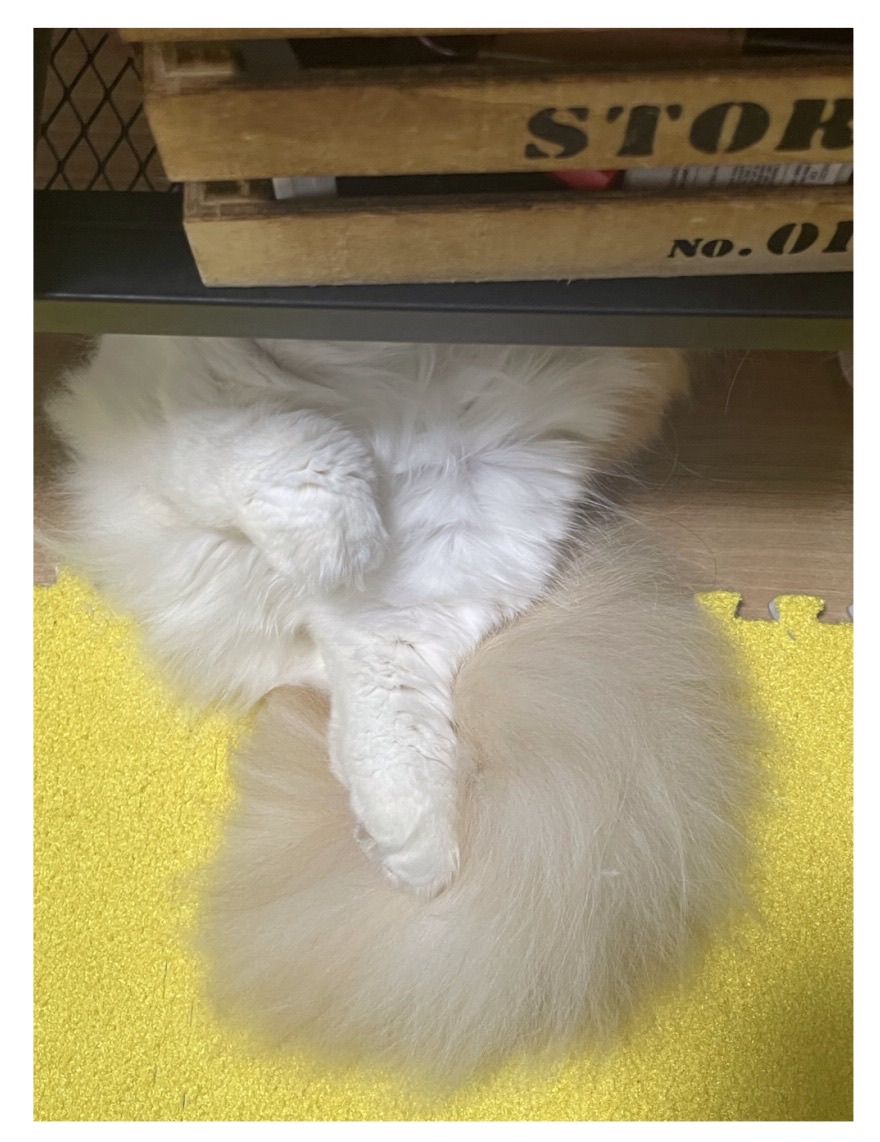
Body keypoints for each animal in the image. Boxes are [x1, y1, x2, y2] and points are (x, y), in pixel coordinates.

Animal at [45, 337, 692, 898]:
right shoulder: (175, 389)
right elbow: (269, 443)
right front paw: (337, 537)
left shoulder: (416, 608)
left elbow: (395, 738)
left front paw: (417, 862)